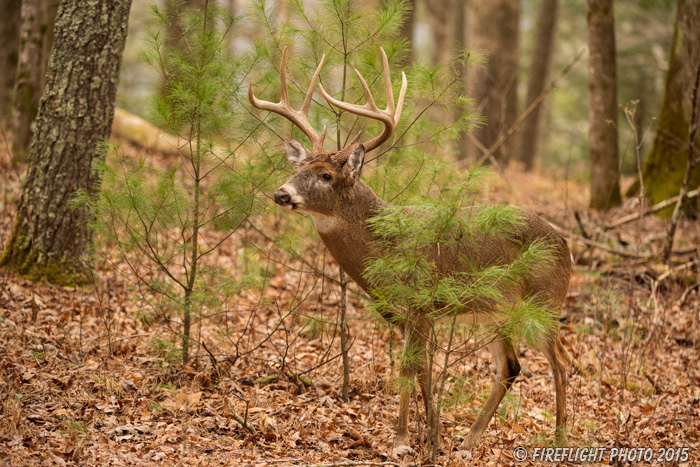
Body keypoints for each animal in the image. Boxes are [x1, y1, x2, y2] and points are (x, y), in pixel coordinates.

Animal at [249, 46, 572, 450]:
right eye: (298, 167)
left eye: (326, 175)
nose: (281, 193)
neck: (385, 247)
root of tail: (566, 244)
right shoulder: (402, 313)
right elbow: (416, 370)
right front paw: (421, 435)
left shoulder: (420, 303)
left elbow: (411, 368)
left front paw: (412, 438)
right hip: (495, 312)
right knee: (511, 366)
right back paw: (469, 442)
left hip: (545, 302)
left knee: (561, 361)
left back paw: (559, 438)